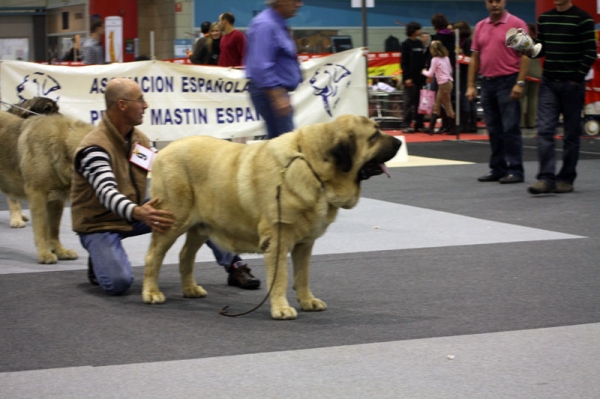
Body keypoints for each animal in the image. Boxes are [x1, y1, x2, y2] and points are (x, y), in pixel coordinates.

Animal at [0, 101, 92, 264]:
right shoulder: (38, 194)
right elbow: (42, 227)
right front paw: (44, 253)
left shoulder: (57, 199)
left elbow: (54, 228)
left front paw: (59, 250)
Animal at [143, 114, 400, 320]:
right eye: (374, 135)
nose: (398, 141)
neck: (312, 165)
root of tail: (163, 150)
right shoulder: (278, 238)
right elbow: (281, 277)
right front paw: (281, 309)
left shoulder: (305, 244)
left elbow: (302, 275)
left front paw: (308, 301)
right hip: (172, 220)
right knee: (154, 256)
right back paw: (152, 293)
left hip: (201, 226)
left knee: (186, 255)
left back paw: (191, 289)